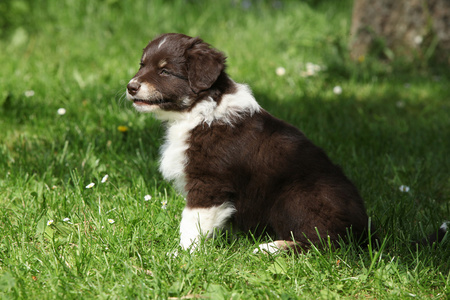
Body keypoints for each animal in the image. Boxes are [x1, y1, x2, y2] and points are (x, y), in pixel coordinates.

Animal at [125, 32, 446, 253]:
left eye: (165, 70)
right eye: (142, 65)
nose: (130, 87)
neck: (199, 110)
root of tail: (367, 234)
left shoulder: (209, 183)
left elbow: (191, 224)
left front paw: (181, 256)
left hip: (296, 196)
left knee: (321, 243)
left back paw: (270, 248)